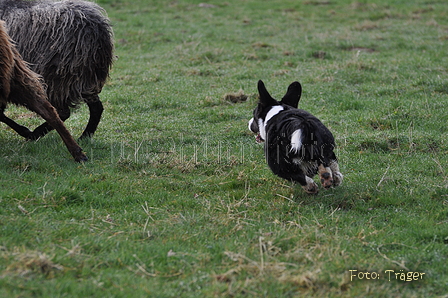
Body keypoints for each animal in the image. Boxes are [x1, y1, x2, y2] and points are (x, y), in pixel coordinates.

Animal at [0, 0, 114, 140]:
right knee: (96, 107)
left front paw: (26, 132)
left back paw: (35, 133)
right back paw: (85, 136)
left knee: (62, 112)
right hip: (84, 79)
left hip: (57, 78)